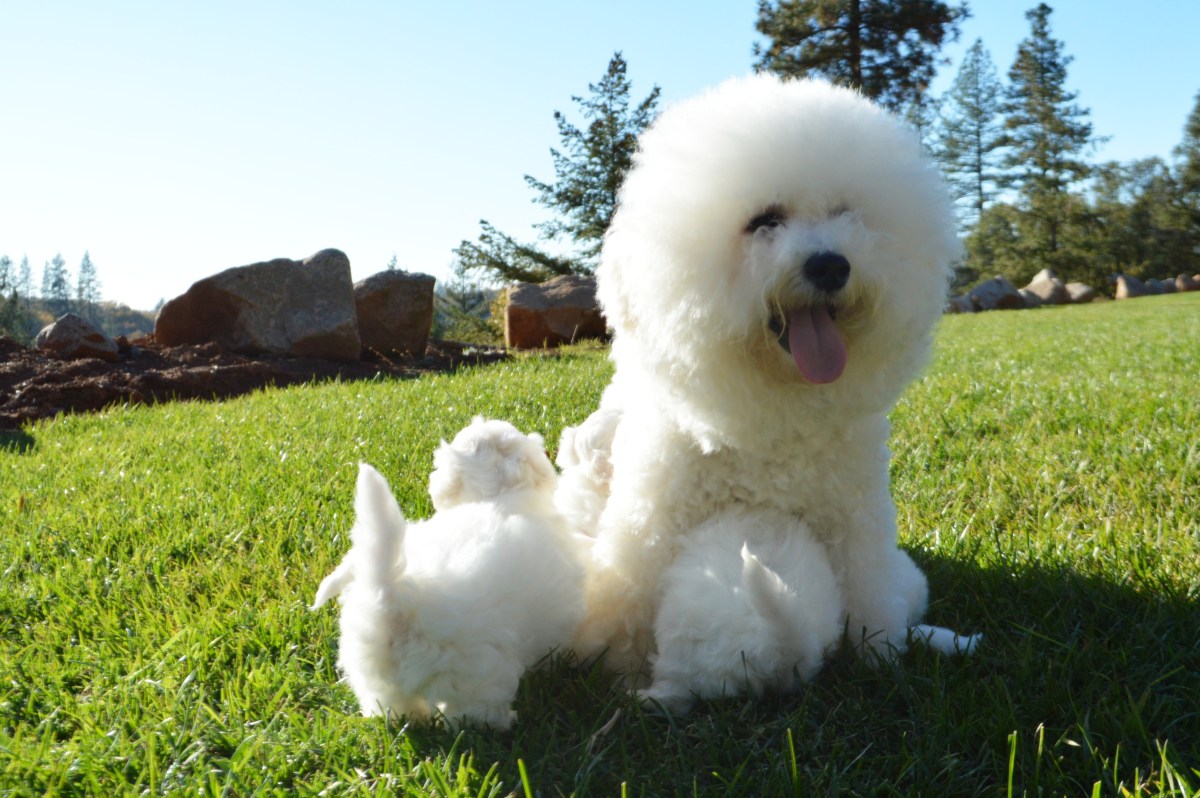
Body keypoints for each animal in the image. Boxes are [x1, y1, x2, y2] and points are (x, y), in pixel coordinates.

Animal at [311, 418, 586, 730]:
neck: (498, 496)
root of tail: (389, 594)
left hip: (373, 673)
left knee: (391, 705)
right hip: (479, 667)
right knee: (471, 711)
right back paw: (502, 722)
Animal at [562, 74, 977, 683]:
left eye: (845, 213)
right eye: (764, 222)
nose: (831, 265)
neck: (778, 411)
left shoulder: (855, 517)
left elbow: (869, 594)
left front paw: (879, 654)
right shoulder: (655, 516)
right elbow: (631, 594)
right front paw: (620, 665)